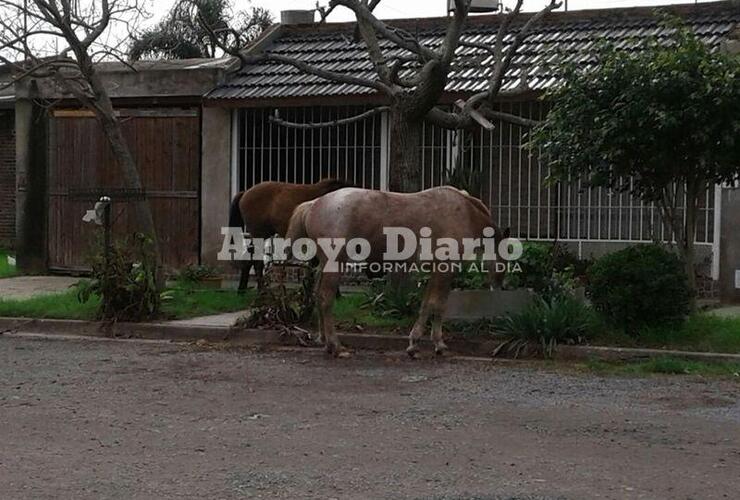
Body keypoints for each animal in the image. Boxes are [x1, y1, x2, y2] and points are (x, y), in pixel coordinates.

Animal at [288, 186, 508, 358]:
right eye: (504, 263)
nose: (498, 287)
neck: (465, 213)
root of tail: (314, 204)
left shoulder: (437, 272)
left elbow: (431, 305)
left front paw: (429, 343)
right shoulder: (444, 270)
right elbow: (435, 304)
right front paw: (424, 344)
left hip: (325, 265)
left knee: (318, 296)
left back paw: (325, 342)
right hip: (335, 264)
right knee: (326, 298)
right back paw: (336, 346)